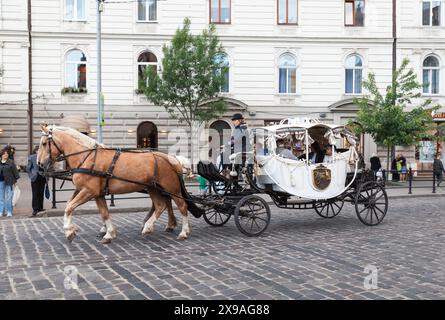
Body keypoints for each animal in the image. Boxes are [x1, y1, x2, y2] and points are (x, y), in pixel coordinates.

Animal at [37, 124, 202, 244]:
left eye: (44, 143)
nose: (39, 163)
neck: (87, 157)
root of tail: (171, 158)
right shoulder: (94, 193)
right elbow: (103, 213)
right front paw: (109, 233)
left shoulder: (88, 191)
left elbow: (69, 207)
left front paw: (69, 230)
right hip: (153, 188)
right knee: (161, 205)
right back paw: (149, 227)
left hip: (171, 187)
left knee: (182, 206)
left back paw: (183, 232)